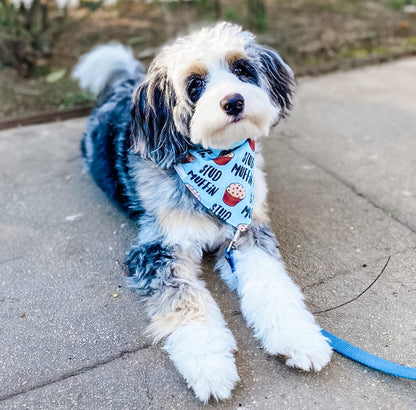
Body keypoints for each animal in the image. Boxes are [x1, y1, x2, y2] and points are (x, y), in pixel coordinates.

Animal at [71, 20, 332, 402]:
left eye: (242, 69)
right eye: (195, 85)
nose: (234, 101)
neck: (216, 168)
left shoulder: (247, 233)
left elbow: (272, 285)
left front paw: (299, 337)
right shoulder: (157, 250)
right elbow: (188, 305)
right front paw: (211, 367)